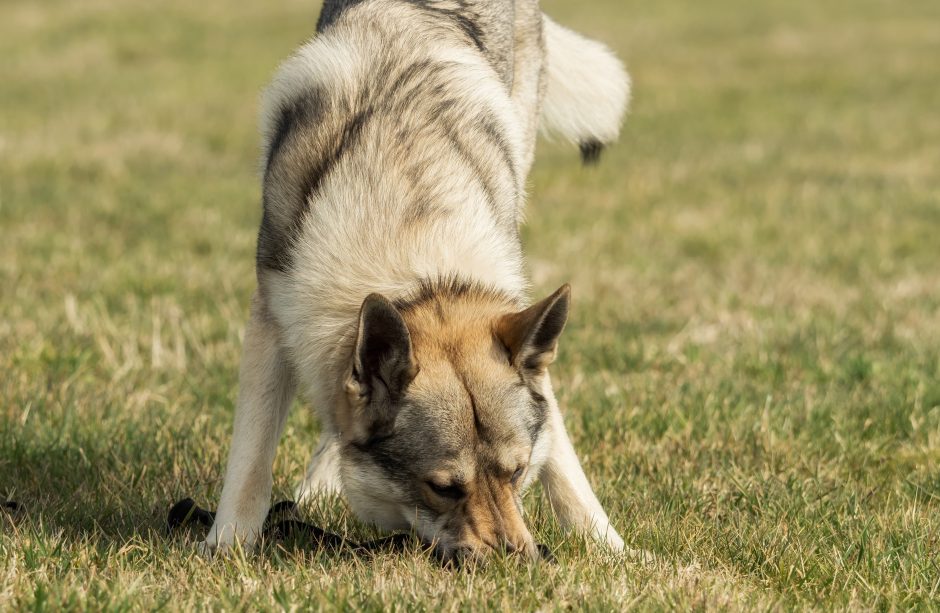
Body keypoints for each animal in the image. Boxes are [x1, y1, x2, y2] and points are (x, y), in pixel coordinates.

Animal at [205, 0, 632, 560]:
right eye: (443, 488)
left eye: (517, 473)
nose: (517, 563)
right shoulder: (272, 318)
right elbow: (251, 460)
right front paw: (225, 547)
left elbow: (564, 463)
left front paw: (616, 553)